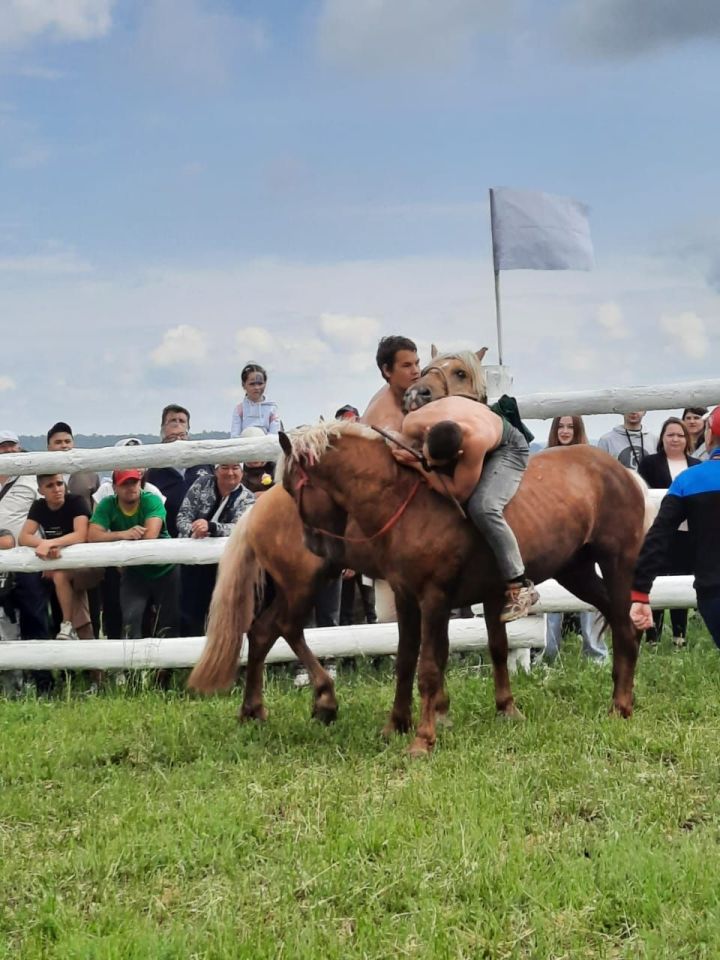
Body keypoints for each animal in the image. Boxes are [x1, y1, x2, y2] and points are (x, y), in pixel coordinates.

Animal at [276, 420, 648, 756]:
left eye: (293, 489)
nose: (312, 546)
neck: (404, 501)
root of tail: (623, 472)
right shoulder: (406, 598)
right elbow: (406, 661)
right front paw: (395, 725)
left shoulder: (434, 598)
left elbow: (429, 667)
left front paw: (423, 739)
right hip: (577, 571)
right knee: (623, 625)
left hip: (616, 563)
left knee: (625, 627)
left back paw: (621, 705)